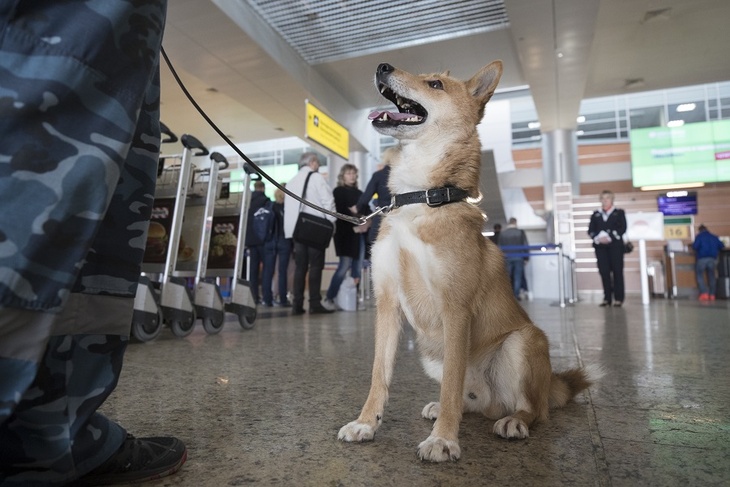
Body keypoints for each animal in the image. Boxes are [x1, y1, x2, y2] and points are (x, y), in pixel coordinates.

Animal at [336, 61, 596, 462]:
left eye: (435, 84)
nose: (382, 65)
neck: (420, 197)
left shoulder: (455, 309)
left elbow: (452, 383)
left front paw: (444, 440)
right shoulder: (387, 304)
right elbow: (380, 375)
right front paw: (366, 422)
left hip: (524, 340)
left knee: (533, 409)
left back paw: (514, 421)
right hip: (431, 354)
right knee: (469, 400)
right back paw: (446, 408)